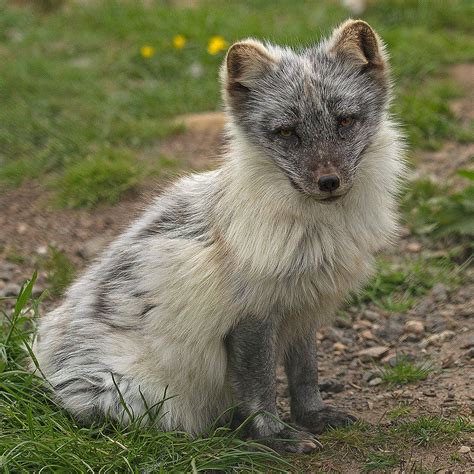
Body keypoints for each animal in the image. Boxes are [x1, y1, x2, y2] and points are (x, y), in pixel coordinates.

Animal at [32, 20, 404, 454]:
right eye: (286, 132)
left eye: (345, 122)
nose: (329, 182)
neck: (316, 232)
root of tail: (37, 363)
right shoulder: (252, 318)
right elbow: (259, 388)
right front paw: (273, 435)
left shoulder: (302, 310)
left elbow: (304, 375)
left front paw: (313, 417)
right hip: (139, 395)